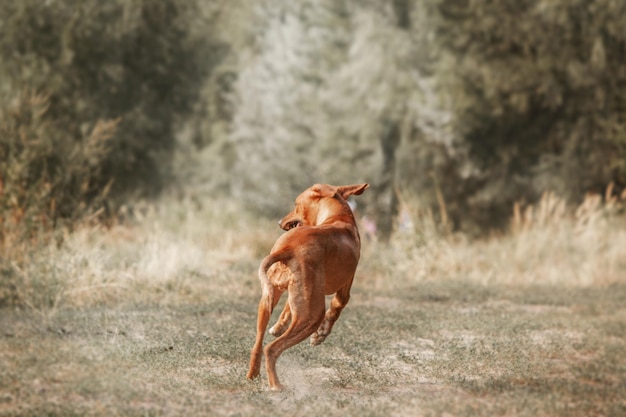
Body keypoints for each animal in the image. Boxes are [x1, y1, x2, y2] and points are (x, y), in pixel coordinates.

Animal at [246, 184, 368, 388]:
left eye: (295, 204)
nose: (279, 222)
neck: (338, 217)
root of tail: (288, 248)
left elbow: (286, 309)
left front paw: (278, 327)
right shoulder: (345, 287)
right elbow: (337, 307)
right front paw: (321, 335)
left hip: (269, 300)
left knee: (258, 344)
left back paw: (253, 374)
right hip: (312, 316)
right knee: (271, 349)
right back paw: (276, 386)